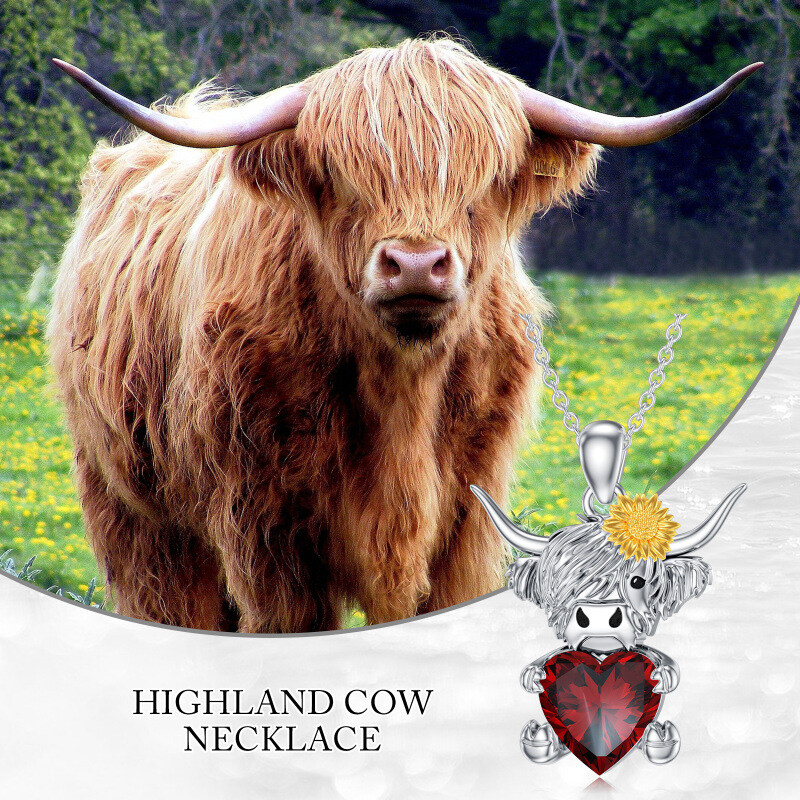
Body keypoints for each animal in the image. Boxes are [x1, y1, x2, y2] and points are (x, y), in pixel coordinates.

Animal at [49, 37, 760, 632]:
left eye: (484, 179)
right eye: (342, 177)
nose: (416, 263)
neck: (402, 397)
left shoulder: (465, 524)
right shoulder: (267, 531)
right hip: (136, 515)